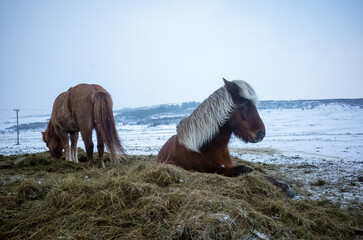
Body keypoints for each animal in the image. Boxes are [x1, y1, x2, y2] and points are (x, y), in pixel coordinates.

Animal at [158, 79, 298, 197]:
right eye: (245, 104)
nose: (261, 134)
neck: (205, 146)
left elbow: (254, 171)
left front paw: (284, 186)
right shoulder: (214, 170)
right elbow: (246, 169)